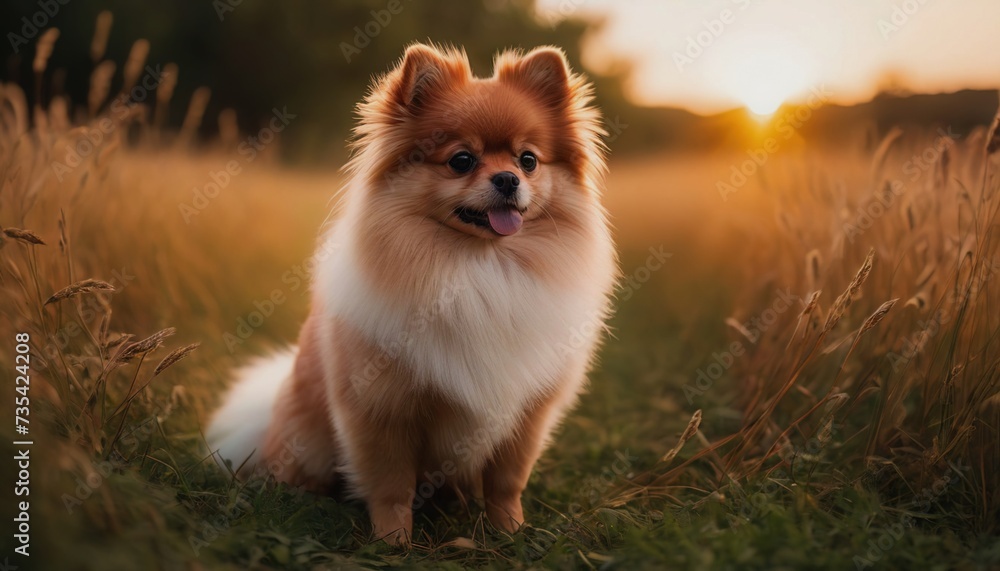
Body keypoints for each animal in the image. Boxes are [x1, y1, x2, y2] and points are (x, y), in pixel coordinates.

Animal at [208, 43, 616, 544]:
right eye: (461, 160)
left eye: (528, 160)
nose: (508, 180)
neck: (477, 265)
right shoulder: (382, 410)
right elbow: (391, 486)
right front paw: (393, 542)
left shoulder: (526, 413)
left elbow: (506, 482)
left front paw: (510, 532)